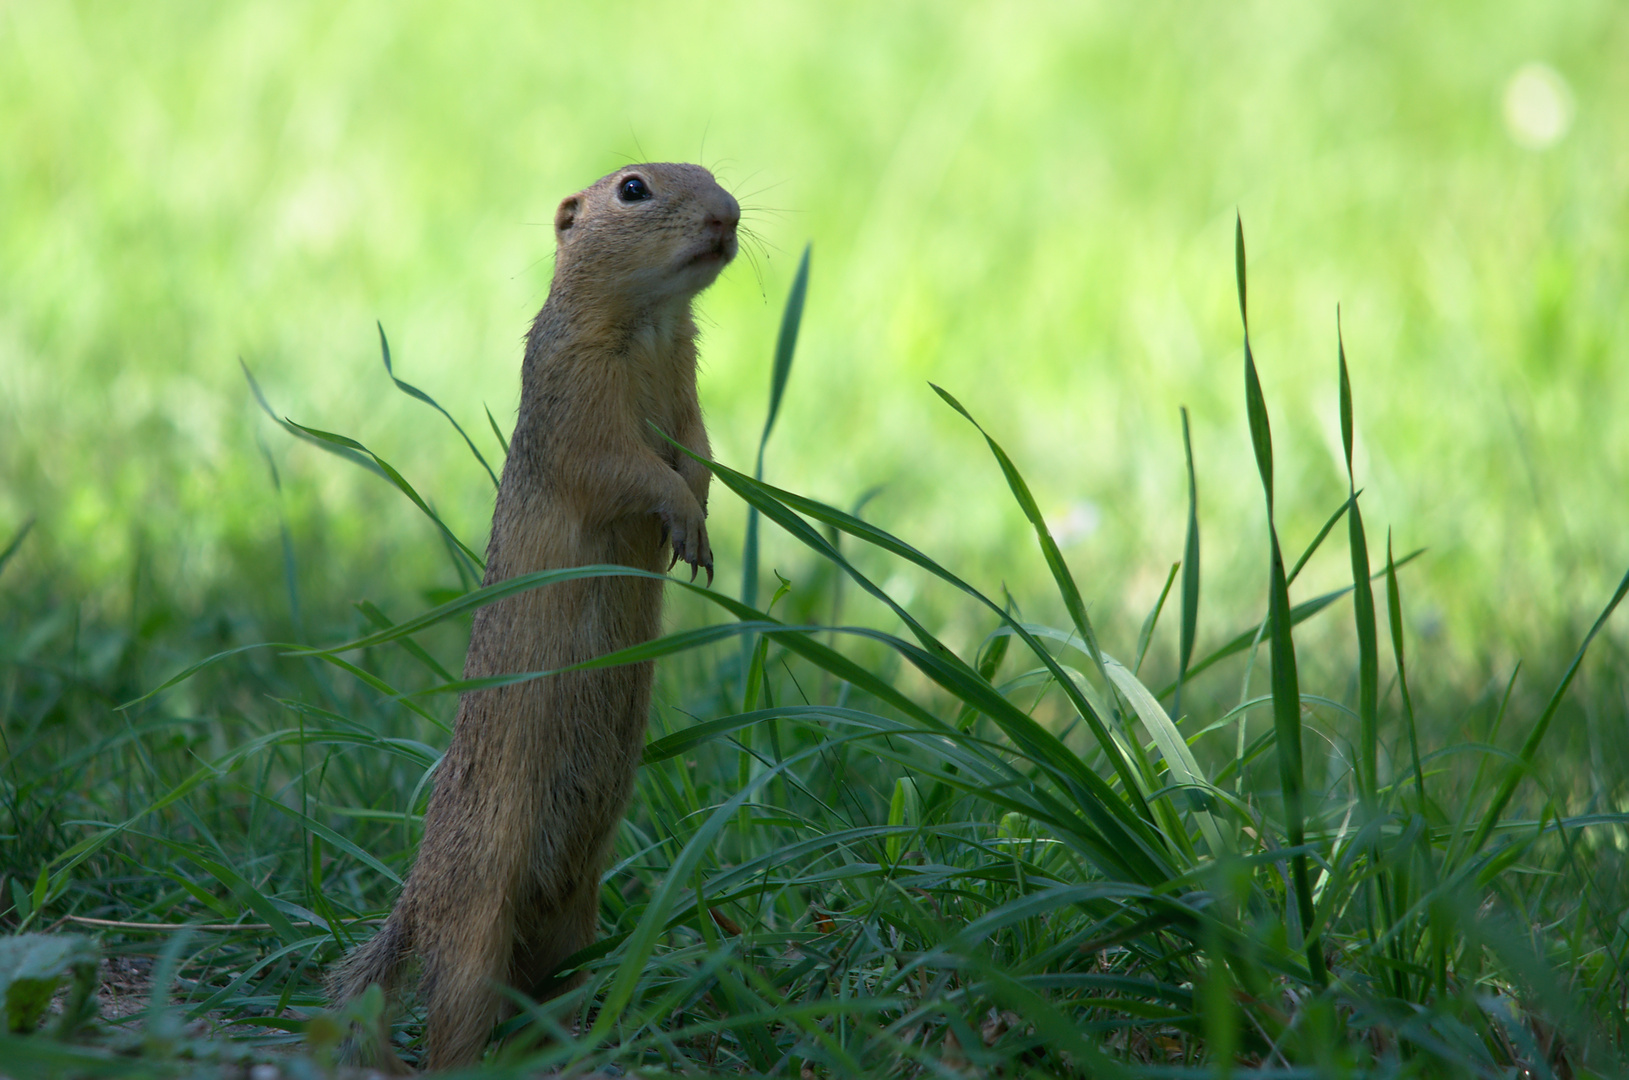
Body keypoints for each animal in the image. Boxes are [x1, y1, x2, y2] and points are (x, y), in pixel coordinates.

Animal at [333, 162, 742, 1075]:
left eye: (711, 173)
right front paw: (680, 521)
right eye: (633, 188)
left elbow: (699, 453)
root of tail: (415, 903)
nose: (727, 215)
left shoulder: (688, 390)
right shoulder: (576, 396)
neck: (653, 327)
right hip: (477, 919)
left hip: (571, 926)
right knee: (452, 1026)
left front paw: (700, 530)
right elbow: (627, 467)